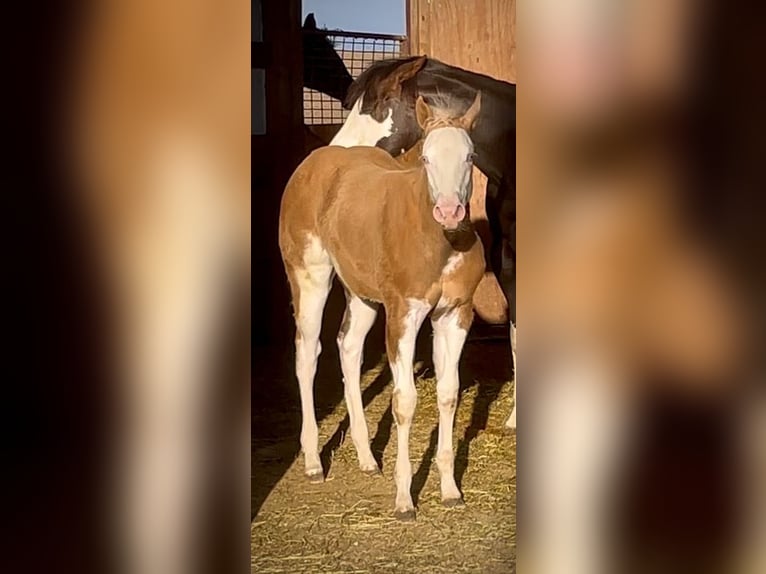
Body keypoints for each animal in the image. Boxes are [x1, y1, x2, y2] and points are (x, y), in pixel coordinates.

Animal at [279, 94, 485, 520]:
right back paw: (312, 462)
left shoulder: (455, 314)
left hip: (361, 294)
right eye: (426, 158)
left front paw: (450, 489)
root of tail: (313, 162)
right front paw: (405, 499)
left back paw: (366, 458)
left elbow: (448, 393)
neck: (439, 243)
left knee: (348, 347)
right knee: (307, 354)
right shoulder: (403, 314)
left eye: (470, 156)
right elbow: (404, 400)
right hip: (310, 276)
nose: (449, 211)